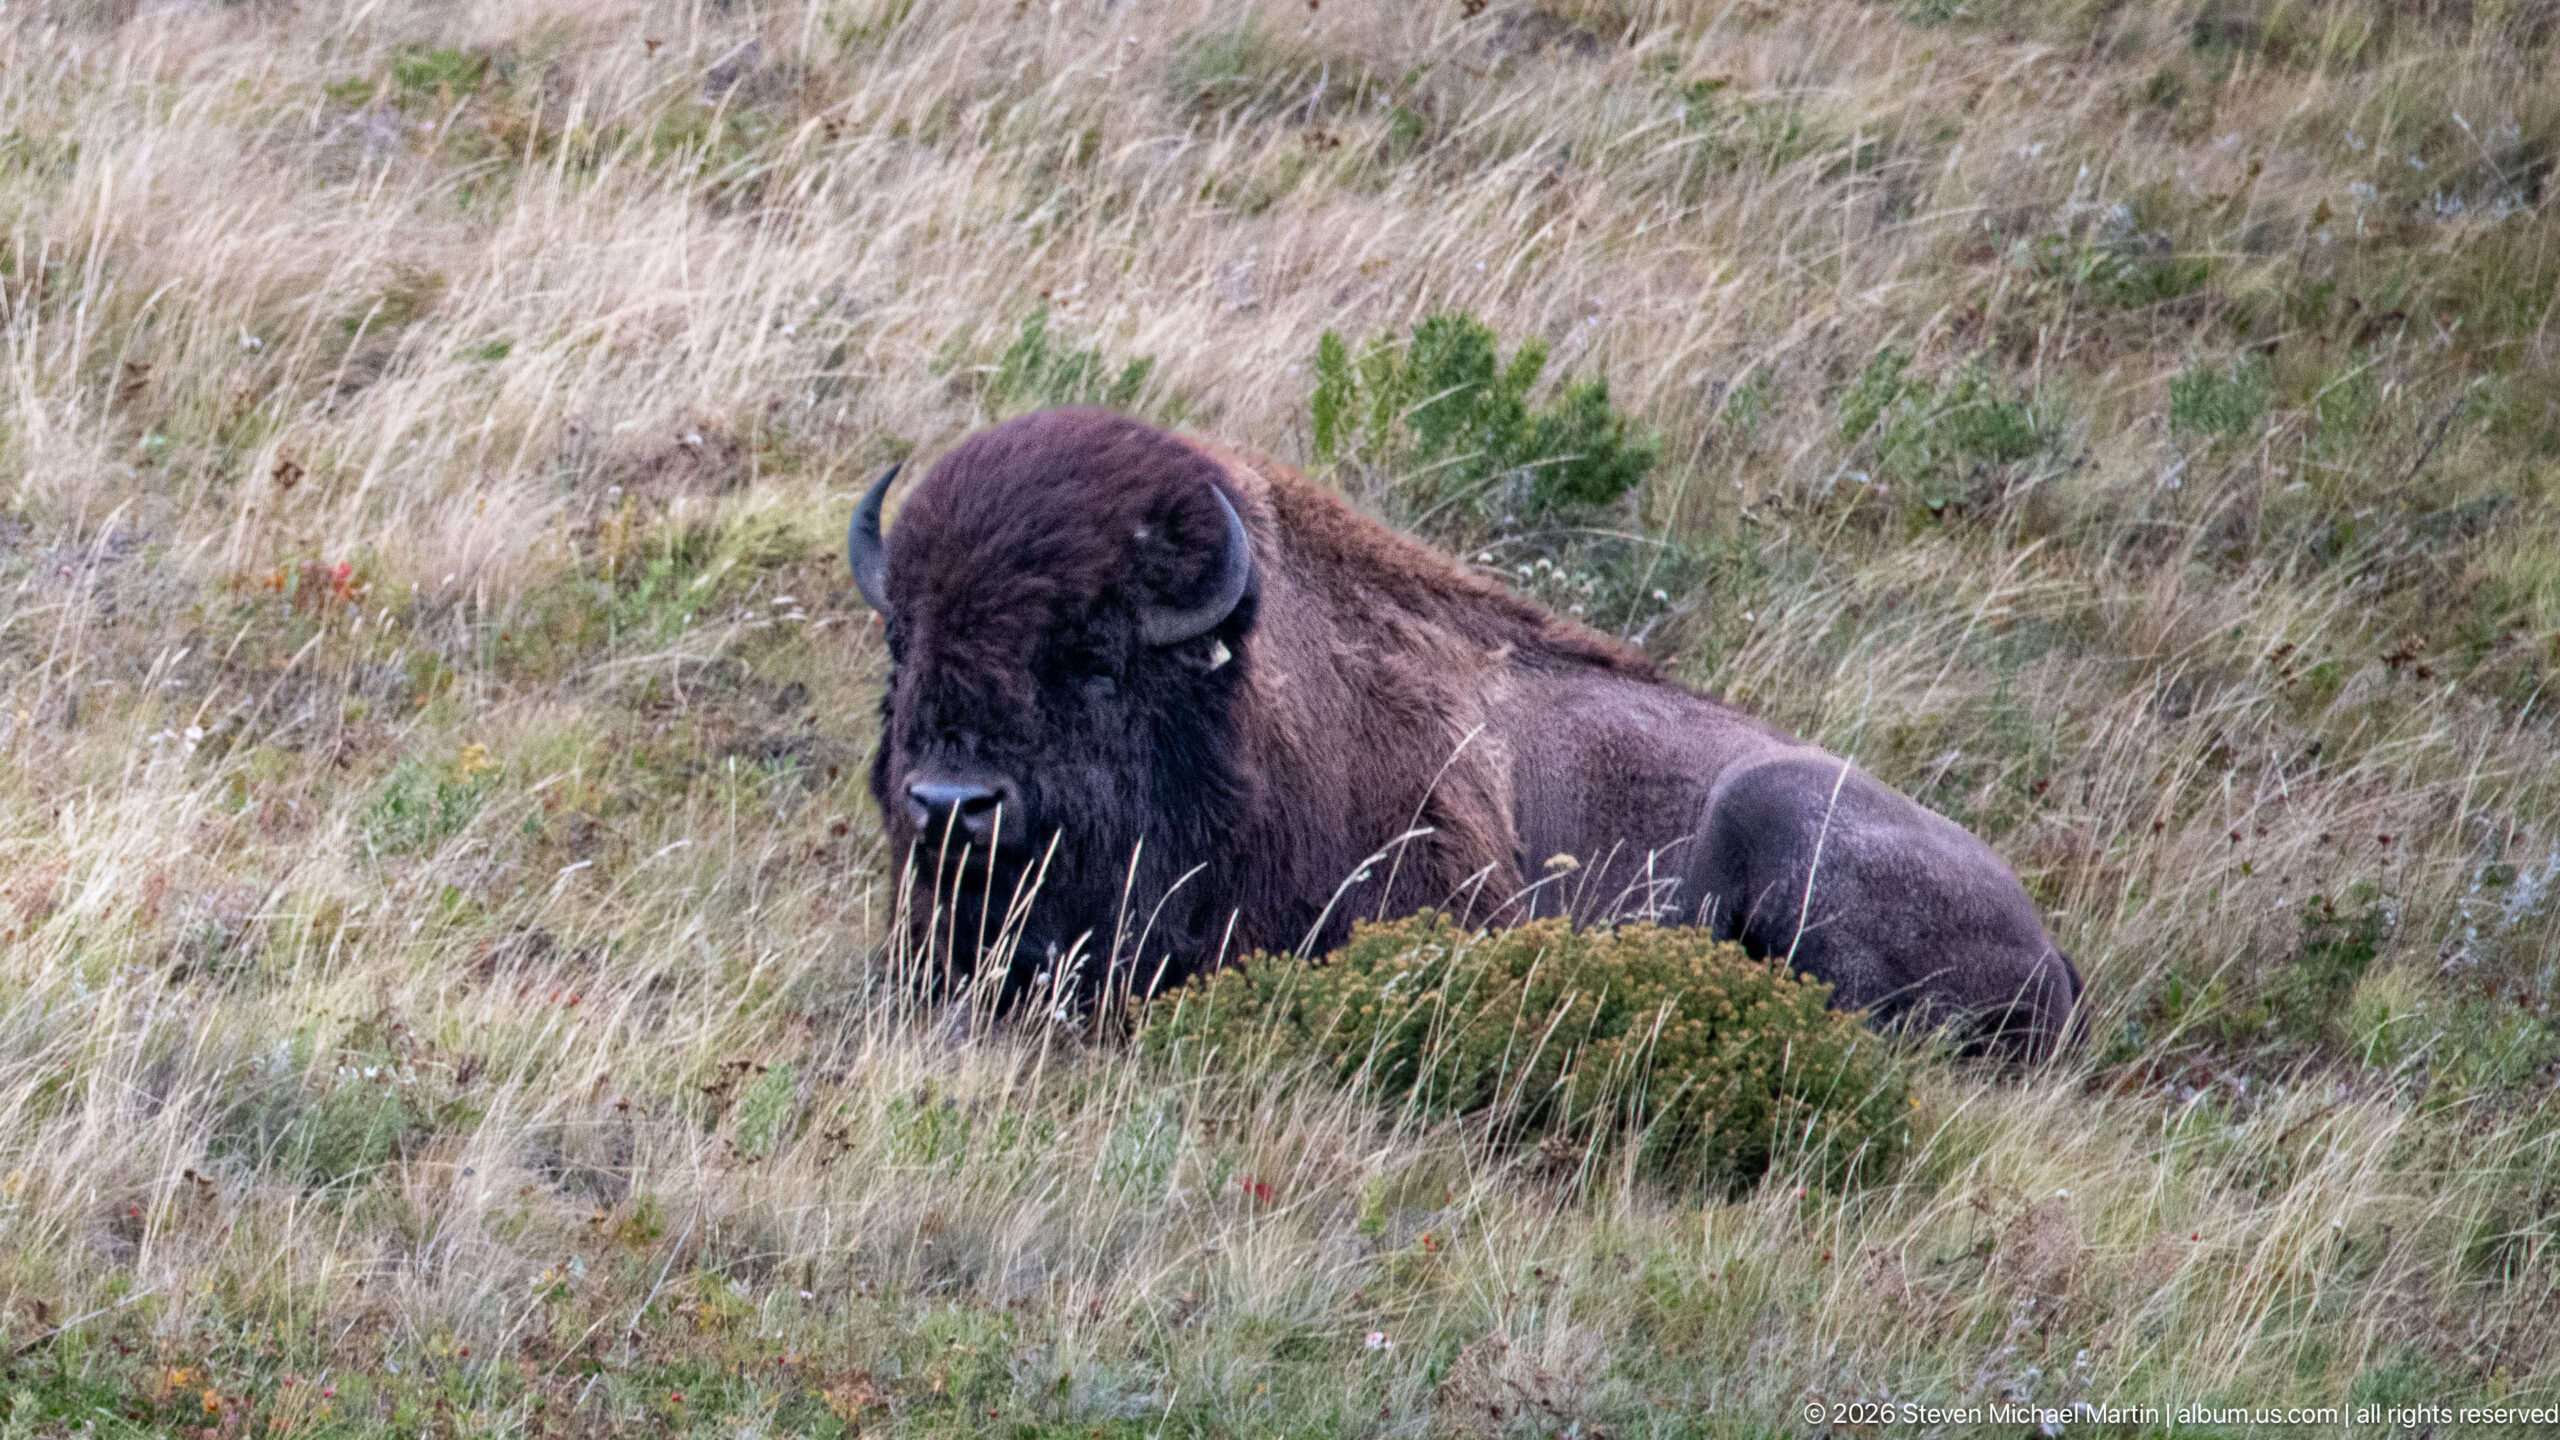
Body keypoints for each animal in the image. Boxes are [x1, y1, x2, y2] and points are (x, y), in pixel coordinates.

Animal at [850, 407, 2082, 1058]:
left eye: (1096, 659)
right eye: (902, 643)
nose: (952, 806)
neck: (1232, 705)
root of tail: (2052, 951)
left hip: (1780, 817)